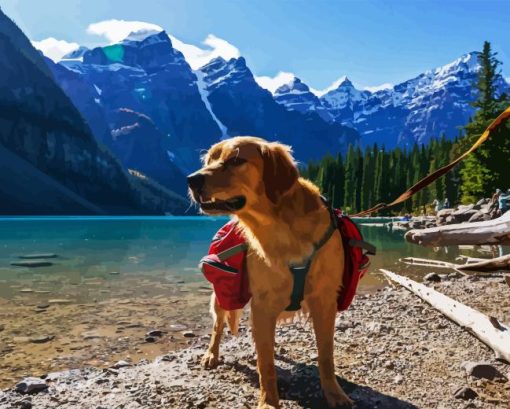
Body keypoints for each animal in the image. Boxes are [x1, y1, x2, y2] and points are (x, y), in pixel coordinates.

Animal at [187, 135, 350, 406]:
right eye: (209, 160)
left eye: (236, 160)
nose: (191, 179)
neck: (281, 228)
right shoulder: (262, 306)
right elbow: (266, 364)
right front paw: (269, 402)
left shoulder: (325, 301)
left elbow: (326, 356)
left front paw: (335, 394)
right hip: (223, 297)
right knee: (218, 326)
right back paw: (211, 355)